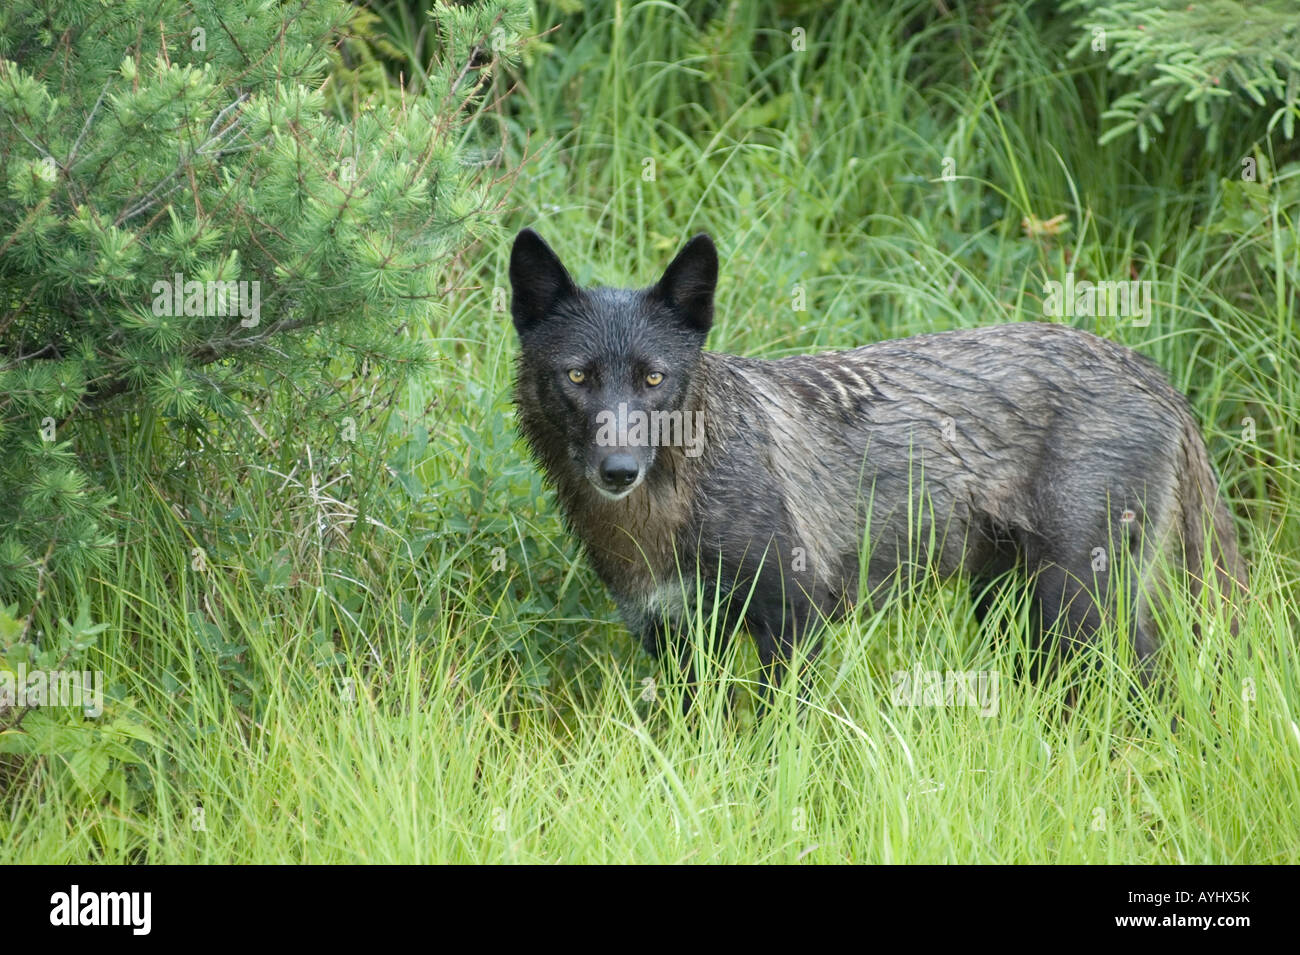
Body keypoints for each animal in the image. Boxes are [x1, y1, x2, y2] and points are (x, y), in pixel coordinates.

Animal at [508, 228, 1247, 709]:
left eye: (654, 378)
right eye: (578, 376)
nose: (618, 469)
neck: (667, 508)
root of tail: (1150, 370)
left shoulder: (793, 623)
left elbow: (780, 744)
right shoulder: (674, 639)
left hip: (1080, 610)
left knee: (1154, 691)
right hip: (1018, 611)